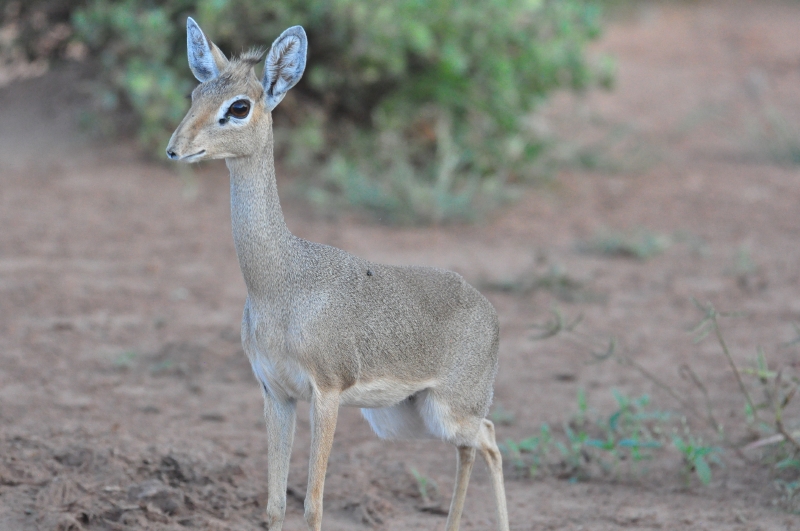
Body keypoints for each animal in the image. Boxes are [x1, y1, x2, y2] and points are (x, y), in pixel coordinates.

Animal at [166, 18, 509, 531]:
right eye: (195, 92)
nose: (175, 150)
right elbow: (275, 503)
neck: (281, 285)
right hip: (407, 417)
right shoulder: (276, 393)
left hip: (450, 409)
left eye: (239, 106)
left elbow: (313, 504)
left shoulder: (325, 394)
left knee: (488, 439)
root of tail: (486, 307)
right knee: (473, 448)